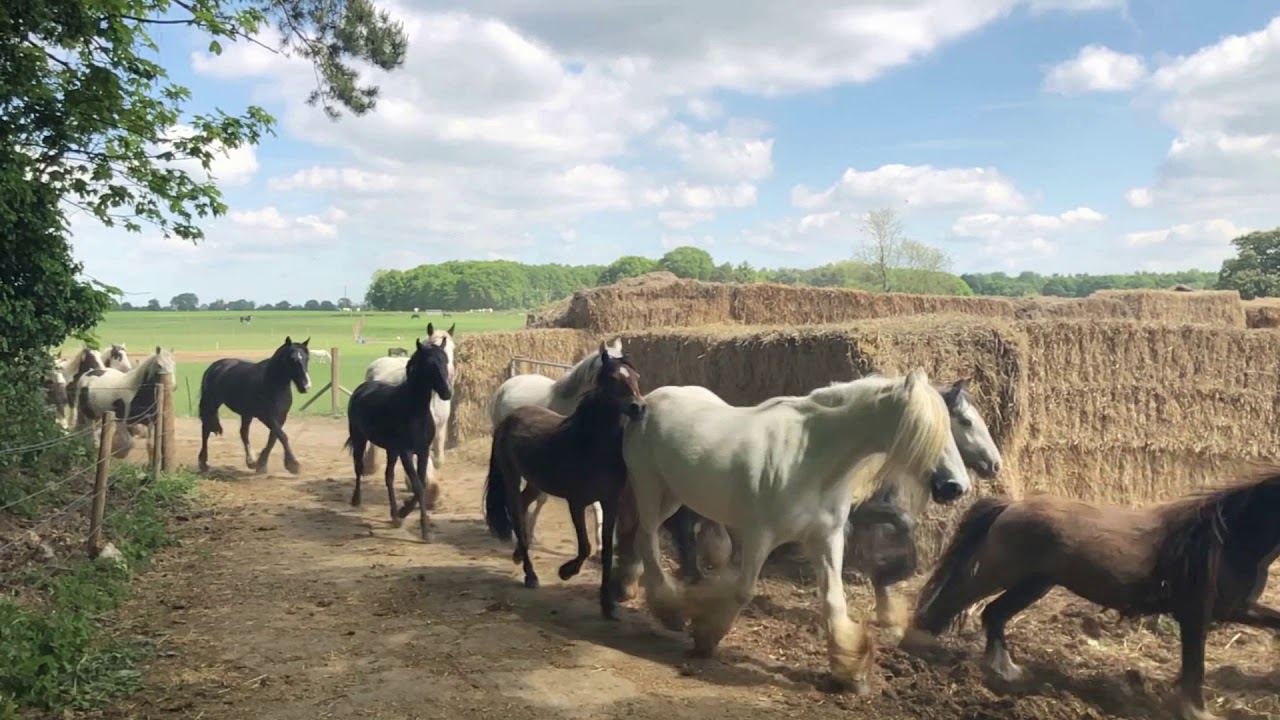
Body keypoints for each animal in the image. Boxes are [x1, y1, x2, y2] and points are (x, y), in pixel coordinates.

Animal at [197, 336, 311, 475]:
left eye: (307, 358)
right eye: (292, 359)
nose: (306, 386)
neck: (272, 382)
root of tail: (215, 367)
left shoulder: (281, 417)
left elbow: (273, 437)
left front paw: (261, 464)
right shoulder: (266, 416)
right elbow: (282, 436)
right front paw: (293, 464)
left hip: (246, 413)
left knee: (243, 432)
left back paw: (250, 461)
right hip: (211, 405)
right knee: (205, 430)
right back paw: (203, 463)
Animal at [344, 338, 453, 541]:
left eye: (445, 361)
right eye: (430, 364)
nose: (447, 393)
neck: (414, 410)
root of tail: (361, 389)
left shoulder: (423, 451)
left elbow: (421, 484)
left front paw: (403, 513)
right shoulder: (406, 452)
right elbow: (417, 486)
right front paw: (424, 530)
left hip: (391, 450)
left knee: (389, 477)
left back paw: (394, 515)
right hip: (360, 438)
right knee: (359, 467)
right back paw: (356, 500)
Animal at [619, 369, 962, 694]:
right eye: (921, 428)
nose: (955, 487)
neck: (810, 458)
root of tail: (648, 400)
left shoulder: (827, 538)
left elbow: (833, 601)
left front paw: (851, 673)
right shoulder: (760, 536)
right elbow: (743, 591)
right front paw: (704, 636)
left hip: (672, 497)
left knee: (640, 540)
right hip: (651, 490)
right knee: (647, 540)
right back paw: (668, 611)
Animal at [905, 467, 1280, 720]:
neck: (1226, 539)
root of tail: (1011, 505)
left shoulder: (1236, 608)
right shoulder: (1194, 614)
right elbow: (1194, 667)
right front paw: (1195, 710)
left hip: (1034, 583)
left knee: (992, 613)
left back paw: (1007, 671)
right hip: (998, 573)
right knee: (951, 600)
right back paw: (917, 647)